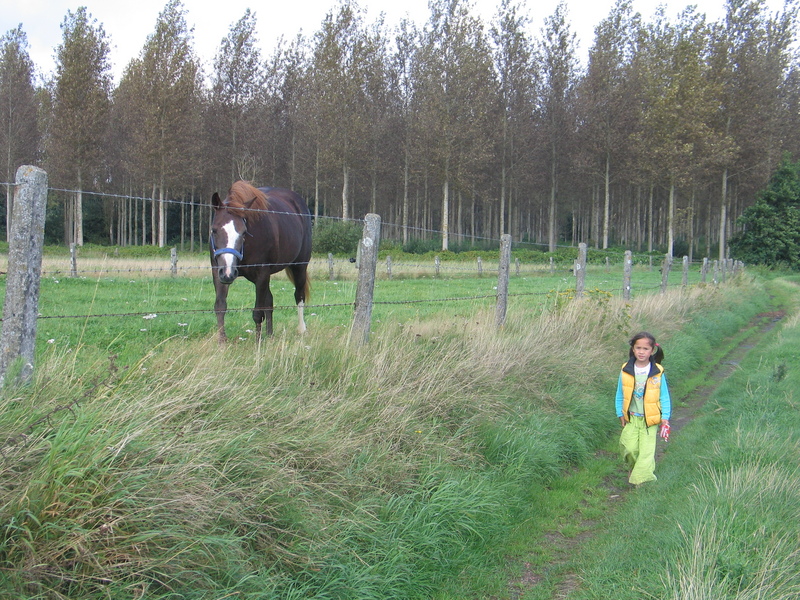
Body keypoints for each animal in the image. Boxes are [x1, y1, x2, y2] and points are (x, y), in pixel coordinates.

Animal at [211, 179, 310, 342]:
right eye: (214, 230)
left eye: (244, 232)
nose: (229, 273)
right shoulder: (218, 272)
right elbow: (220, 306)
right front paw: (222, 342)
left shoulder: (262, 273)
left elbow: (258, 313)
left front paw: (257, 343)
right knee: (269, 300)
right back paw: (270, 335)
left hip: (299, 266)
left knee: (299, 296)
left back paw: (301, 330)